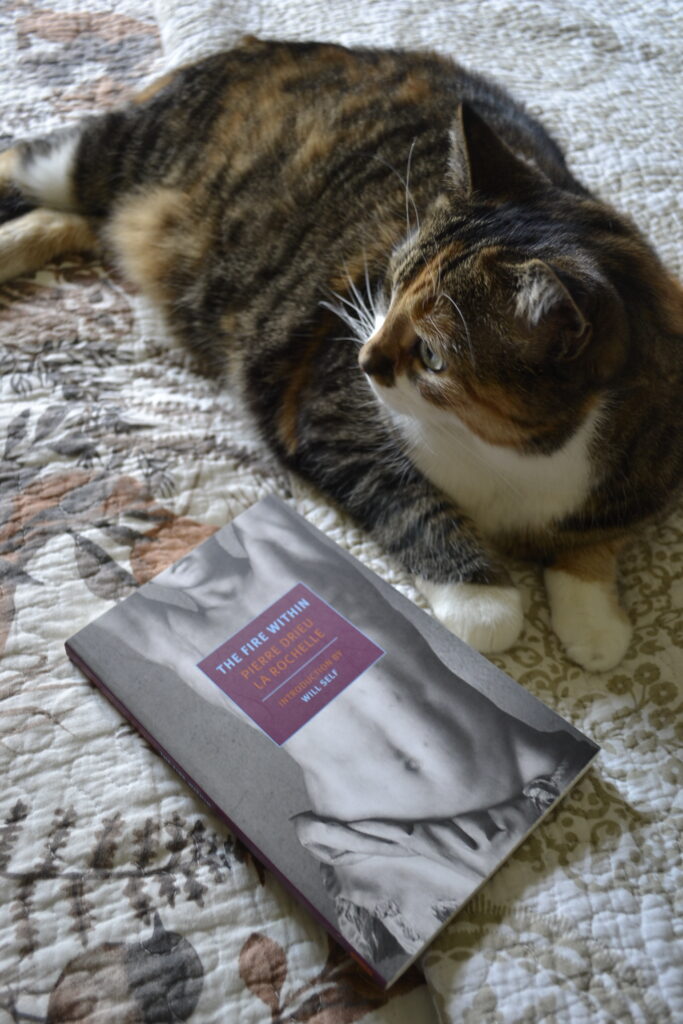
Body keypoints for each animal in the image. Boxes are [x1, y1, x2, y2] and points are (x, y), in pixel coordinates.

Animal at [1, 36, 683, 671]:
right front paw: (482, 600)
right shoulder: (330, 408)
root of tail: (256, 46)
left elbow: (593, 537)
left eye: (433, 356)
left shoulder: (638, 472)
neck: (512, 456)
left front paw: (594, 620)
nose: (367, 360)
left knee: (77, 221)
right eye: (392, 282)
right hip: (108, 154)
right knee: (29, 159)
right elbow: (409, 498)